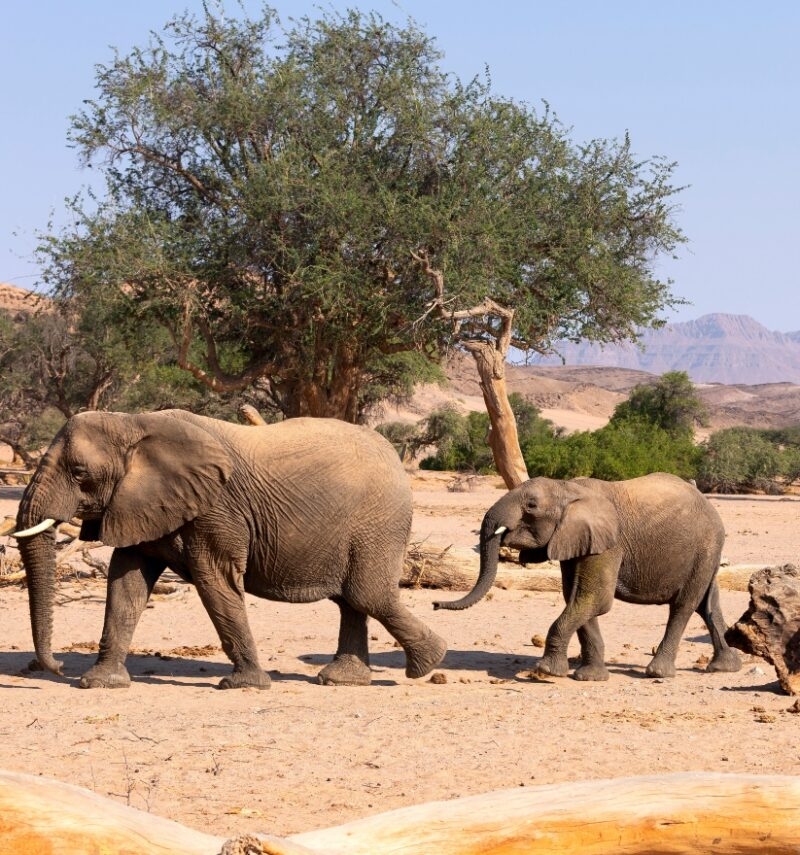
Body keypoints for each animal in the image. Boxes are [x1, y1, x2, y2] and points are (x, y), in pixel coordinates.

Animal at [13, 409, 447, 689]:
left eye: (79, 474)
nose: (57, 667)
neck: (133, 422)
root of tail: (395, 456)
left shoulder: (217, 509)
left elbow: (215, 580)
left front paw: (244, 685)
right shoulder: (140, 504)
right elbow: (126, 582)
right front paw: (101, 683)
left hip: (379, 522)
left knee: (366, 594)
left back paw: (428, 664)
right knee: (351, 600)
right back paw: (343, 681)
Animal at [434, 473, 741, 681]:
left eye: (531, 506)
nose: (435, 604)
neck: (568, 488)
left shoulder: (608, 543)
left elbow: (595, 599)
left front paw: (546, 671)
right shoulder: (575, 539)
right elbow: (576, 598)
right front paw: (590, 677)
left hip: (706, 546)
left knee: (684, 605)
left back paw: (658, 673)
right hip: (707, 553)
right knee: (707, 604)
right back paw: (724, 667)